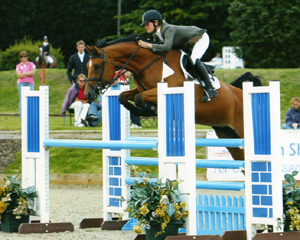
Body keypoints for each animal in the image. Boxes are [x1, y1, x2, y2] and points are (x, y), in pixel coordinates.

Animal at [84, 33, 262, 160]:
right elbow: (123, 96)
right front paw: (145, 111)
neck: (149, 63)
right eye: (87, 65)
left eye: (97, 66)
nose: (88, 94)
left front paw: (150, 111)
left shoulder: (165, 90)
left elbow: (140, 98)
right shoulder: (142, 89)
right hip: (227, 134)